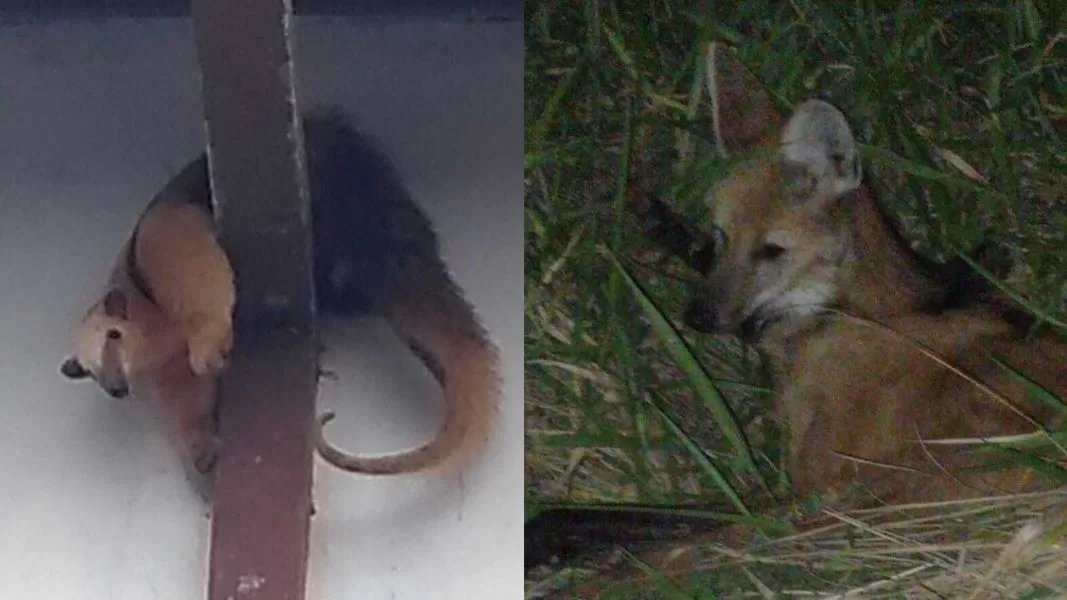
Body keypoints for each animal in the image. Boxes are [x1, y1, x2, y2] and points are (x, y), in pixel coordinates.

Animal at [60, 107, 501, 478]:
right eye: (91, 372)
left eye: (113, 336)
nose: (117, 389)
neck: (154, 324)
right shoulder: (166, 365)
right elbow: (191, 403)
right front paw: (204, 450)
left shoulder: (160, 245)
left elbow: (196, 271)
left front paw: (210, 349)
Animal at [524, 43, 1067, 567]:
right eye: (722, 236)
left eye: (771, 251)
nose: (698, 317)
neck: (833, 315)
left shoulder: (808, 483)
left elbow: (671, 519)